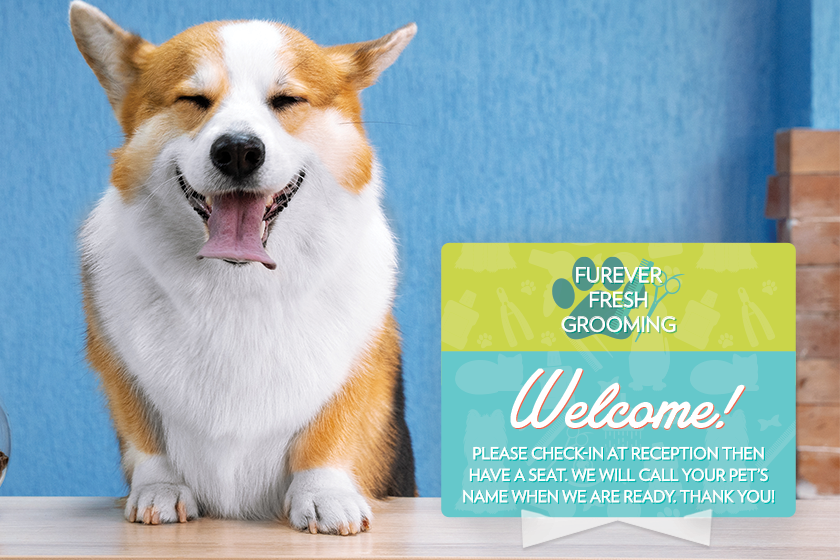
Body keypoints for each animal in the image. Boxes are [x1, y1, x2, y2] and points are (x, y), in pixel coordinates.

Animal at [69, 1, 416, 532]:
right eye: (194, 99)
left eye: (287, 100)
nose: (237, 151)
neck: (239, 283)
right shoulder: (118, 365)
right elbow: (146, 436)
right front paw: (160, 489)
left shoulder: (363, 359)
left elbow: (329, 430)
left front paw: (325, 496)